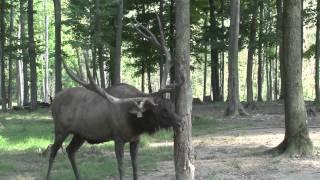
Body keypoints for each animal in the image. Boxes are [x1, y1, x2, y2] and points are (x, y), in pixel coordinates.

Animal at [46, 14, 184, 180]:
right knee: (53, 151)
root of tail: (53, 100)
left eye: (171, 105)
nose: (181, 122)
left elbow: (135, 166)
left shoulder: (135, 139)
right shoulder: (118, 138)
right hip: (60, 129)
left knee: (70, 150)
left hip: (80, 134)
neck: (134, 123)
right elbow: (121, 168)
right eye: (162, 110)